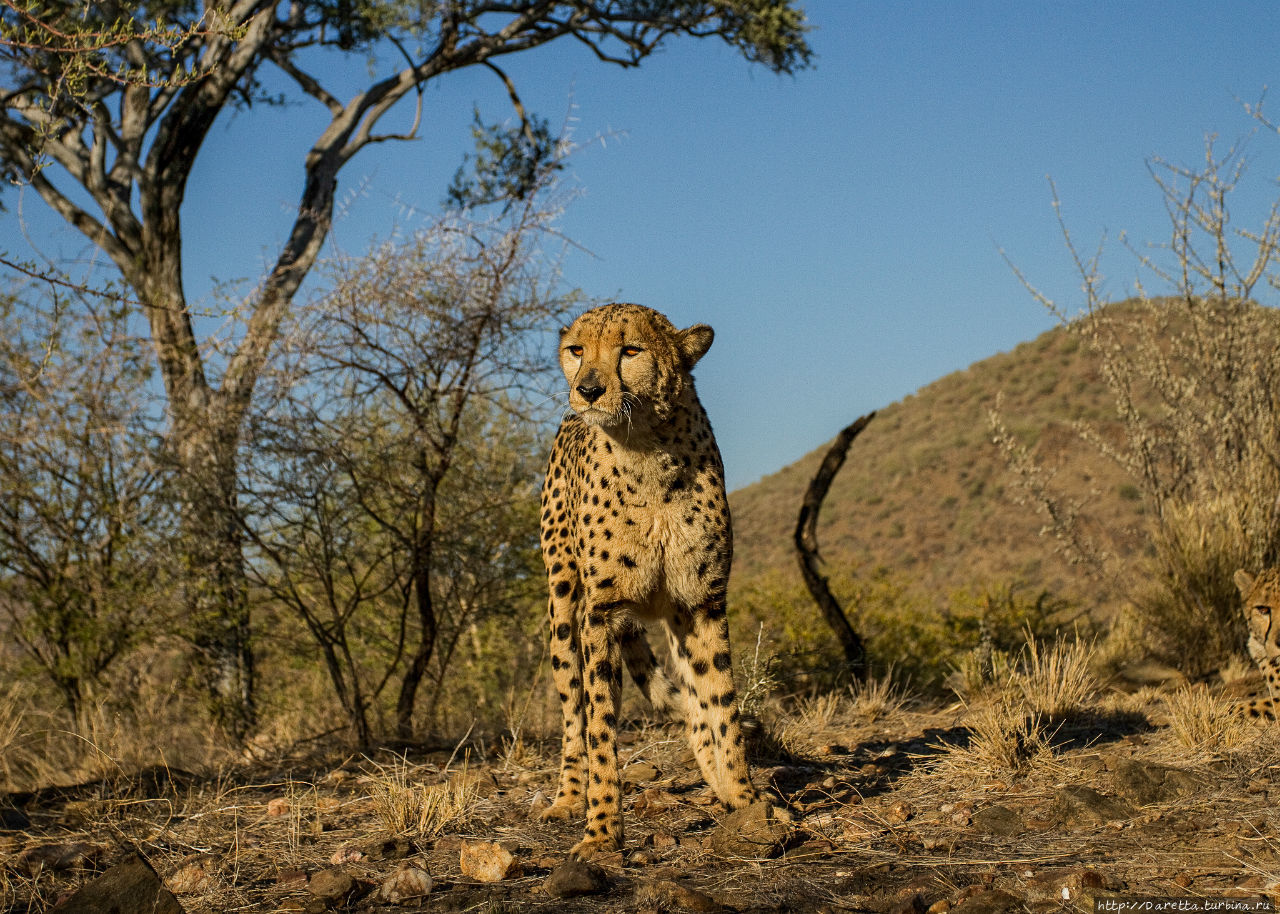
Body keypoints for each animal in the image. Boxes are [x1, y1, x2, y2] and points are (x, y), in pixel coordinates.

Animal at [540, 302, 768, 860]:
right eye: (576, 350)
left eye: (631, 350)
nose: (589, 389)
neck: (646, 451)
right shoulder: (601, 613)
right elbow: (600, 727)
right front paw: (601, 831)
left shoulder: (704, 601)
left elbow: (721, 704)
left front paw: (745, 800)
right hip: (563, 604)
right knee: (573, 712)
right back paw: (567, 798)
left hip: (674, 615)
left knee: (694, 700)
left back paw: (716, 782)